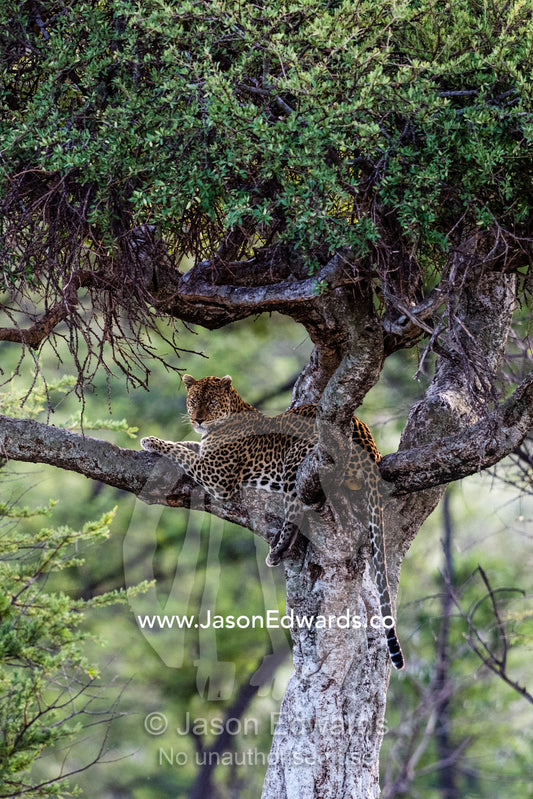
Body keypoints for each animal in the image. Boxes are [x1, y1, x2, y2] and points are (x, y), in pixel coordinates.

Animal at [141, 374, 404, 670]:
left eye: (211, 402)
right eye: (195, 400)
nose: (197, 420)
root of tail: (367, 442)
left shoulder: (217, 476)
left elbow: (182, 453)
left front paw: (151, 441)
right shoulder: (207, 457)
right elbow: (190, 448)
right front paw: (178, 441)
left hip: (295, 459)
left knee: (297, 507)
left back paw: (279, 549)